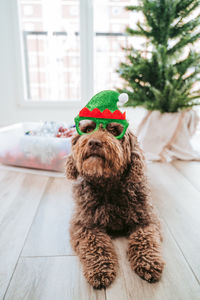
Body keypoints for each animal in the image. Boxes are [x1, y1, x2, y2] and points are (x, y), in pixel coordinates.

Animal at [65, 120, 164, 290]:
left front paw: (148, 262)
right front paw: (100, 270)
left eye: (114, 130)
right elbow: (95, 243)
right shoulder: (84, 224)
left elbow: (145, 238)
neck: (107, 185)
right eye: (88, 129)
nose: (94, 142)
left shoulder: (147, 220)